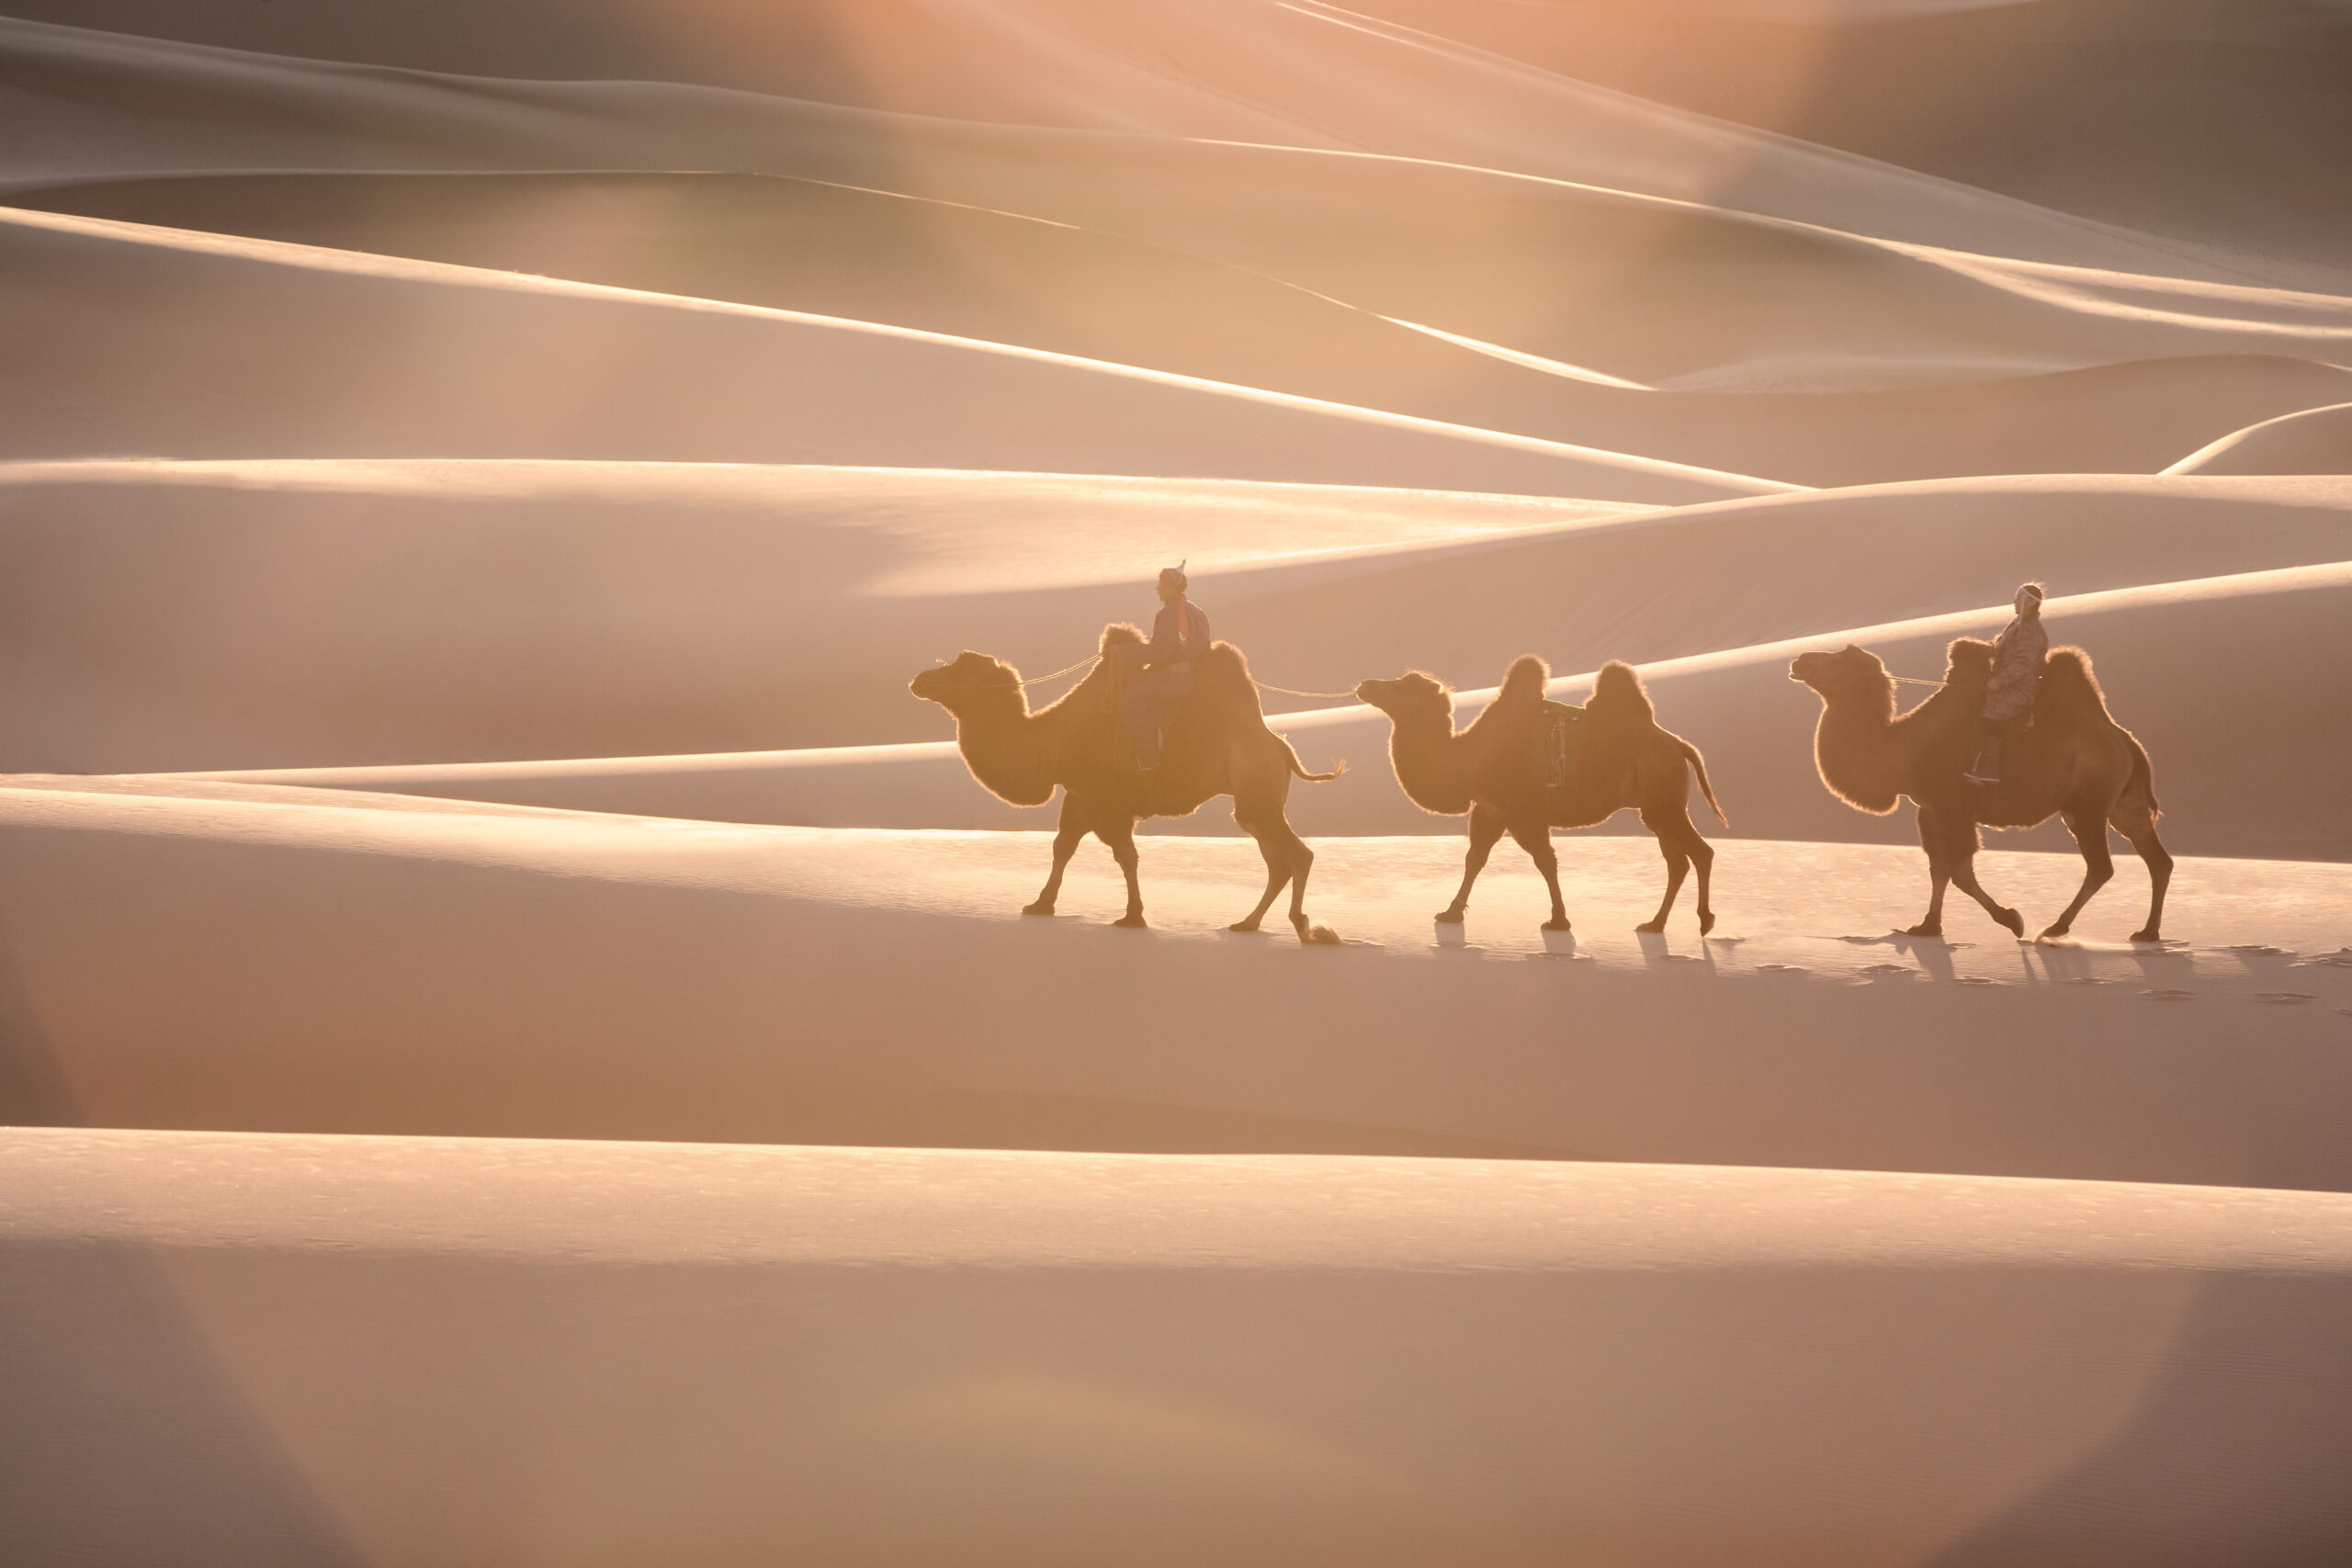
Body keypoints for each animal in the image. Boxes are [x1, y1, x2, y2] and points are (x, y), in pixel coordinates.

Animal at [908, 625, 1345, 944]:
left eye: (958, 669)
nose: (919, 679)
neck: (1055, 743)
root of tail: (1280, 746)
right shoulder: (1079, 796)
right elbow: (1063, 848)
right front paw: (1040, 904)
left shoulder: (1109, 804)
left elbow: (1125, 857)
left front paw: (1133, 916)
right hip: (1256, 802)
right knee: (1277, 862)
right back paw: (1247, 924)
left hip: (1257, 788)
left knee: (1297, 856)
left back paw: (1304, 927)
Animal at [1354, 658, 1721, 940]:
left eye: (1403, 688)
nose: (1365, 685)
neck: (1470, 757)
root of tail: (1680, 745)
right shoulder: (1490, 809)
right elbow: (1475, 859)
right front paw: (1450, 912)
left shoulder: (1522, 812)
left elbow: (1545, 861)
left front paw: (1559, 920)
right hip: (1657, 810)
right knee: (1678, 862)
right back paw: (1655, 924)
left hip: (1664, 803)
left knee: (1700, 853)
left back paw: (1704, 922)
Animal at [1796, 639, 2164, 944]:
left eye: (1839, 660)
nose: (1800, 660)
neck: (1905, 748)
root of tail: (2125, 740)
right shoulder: (1928, 810)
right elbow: (1938, 869)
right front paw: (1927, 927)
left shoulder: (1953, 807)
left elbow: (1960, 873)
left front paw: (2012, 919)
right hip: (2123, 803)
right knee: (2157, 858)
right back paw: (2148, 932)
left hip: (2086, 804)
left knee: (2101, 866)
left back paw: (2056, 928)